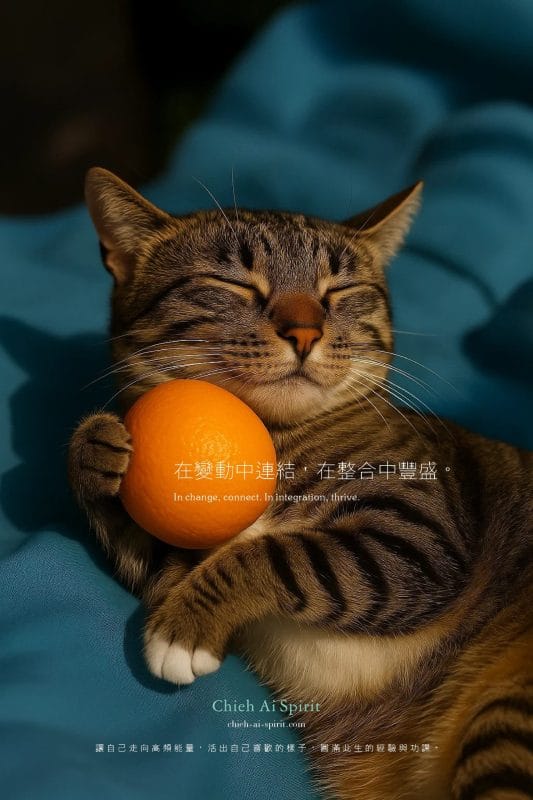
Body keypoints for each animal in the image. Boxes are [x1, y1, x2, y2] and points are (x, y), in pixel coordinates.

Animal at [68, 167, 533, 800]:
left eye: (337, 291)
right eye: (234, 284)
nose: (306, 332)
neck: (275, 439)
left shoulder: (418, 534)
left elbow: (277, 555)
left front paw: (184, 629)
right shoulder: (168, 554)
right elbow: (148, 549)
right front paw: (94, 447)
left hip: (507, 714)